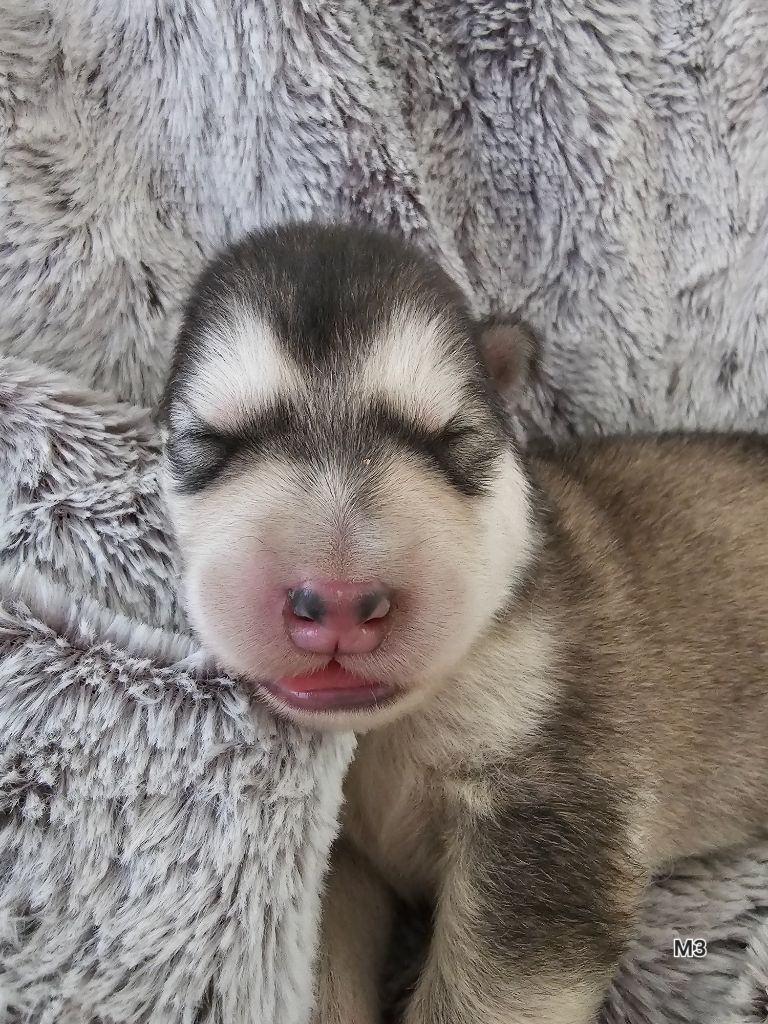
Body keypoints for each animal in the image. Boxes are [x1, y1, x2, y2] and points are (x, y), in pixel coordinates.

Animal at [161, 222, 768, 1024]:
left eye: (446, 439)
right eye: (216, 441)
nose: (341, 603)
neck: (391, 731)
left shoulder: (549, 804)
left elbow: (497, 982)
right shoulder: (340, 858)